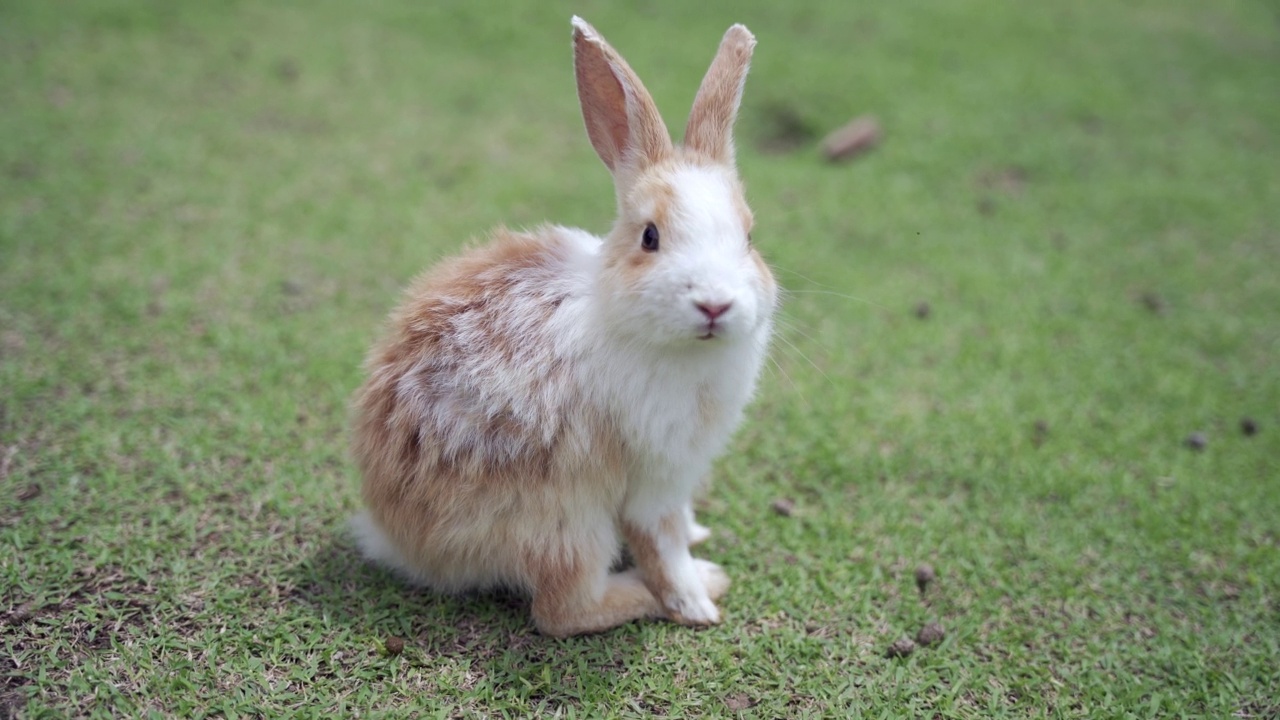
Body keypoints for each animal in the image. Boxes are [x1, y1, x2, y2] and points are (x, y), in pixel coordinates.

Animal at [348, 16, 778, 632]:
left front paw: (700, 535)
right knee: (563, 609)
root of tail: (401, 542)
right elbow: (662, 543)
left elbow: (680, 524)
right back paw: (674, 587)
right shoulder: (656, 476)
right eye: (650, 237)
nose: (715, 305)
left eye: (749, 237)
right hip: (567, 521)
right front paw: (695, 601)